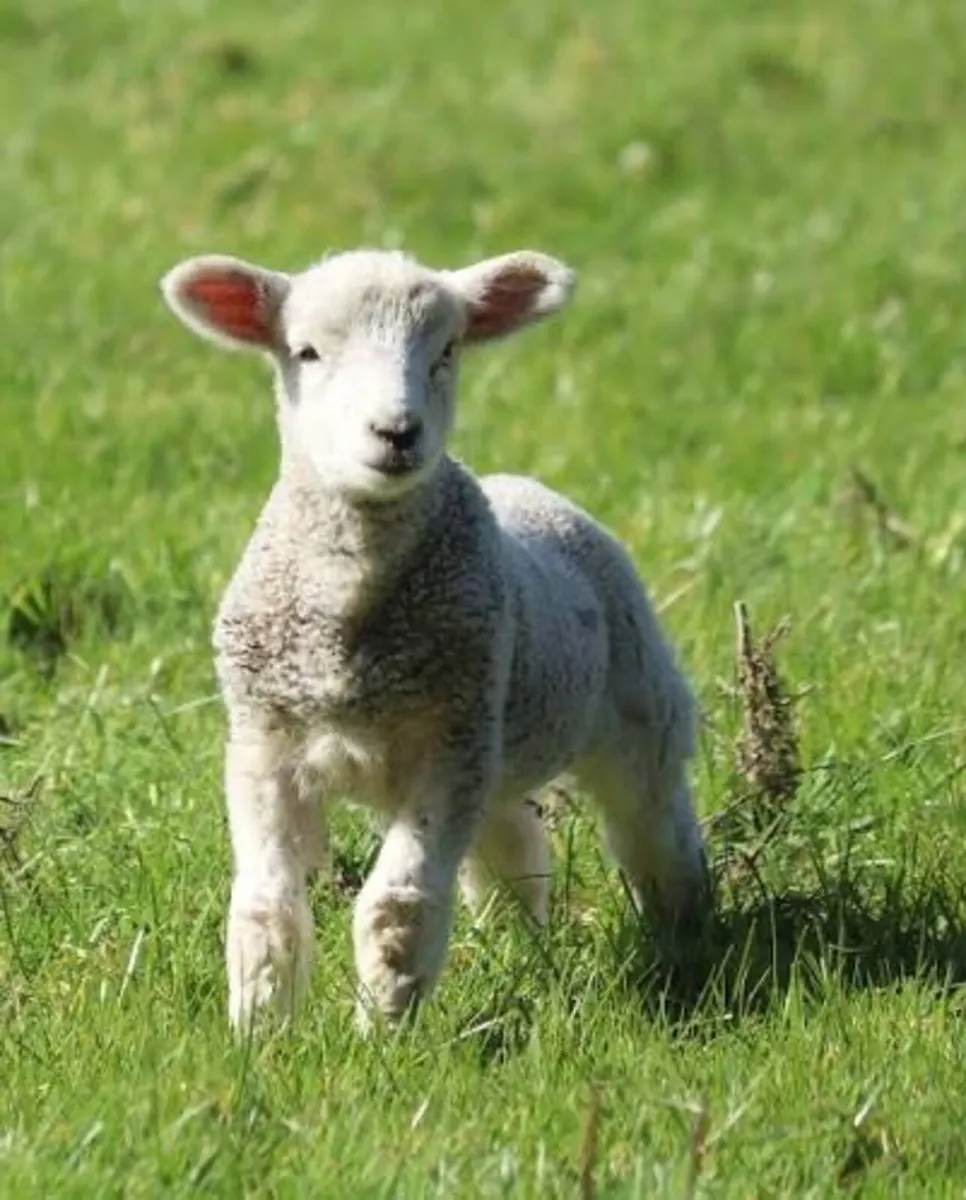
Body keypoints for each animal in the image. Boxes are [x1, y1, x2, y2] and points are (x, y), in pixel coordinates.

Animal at [160, 246, 711, 1033]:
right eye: (306, 352)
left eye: (446, 350)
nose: (397, 432)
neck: (346, 630)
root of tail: (525, 485)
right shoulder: (264, 745)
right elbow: (266, 908)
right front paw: (260, 1031)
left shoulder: (446, 747)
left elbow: (399, 908)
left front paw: (382, 1032)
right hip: (495, 744)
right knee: (512, 842)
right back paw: (516, 943)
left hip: (633, 710)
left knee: (655, 828)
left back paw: (685, 935)